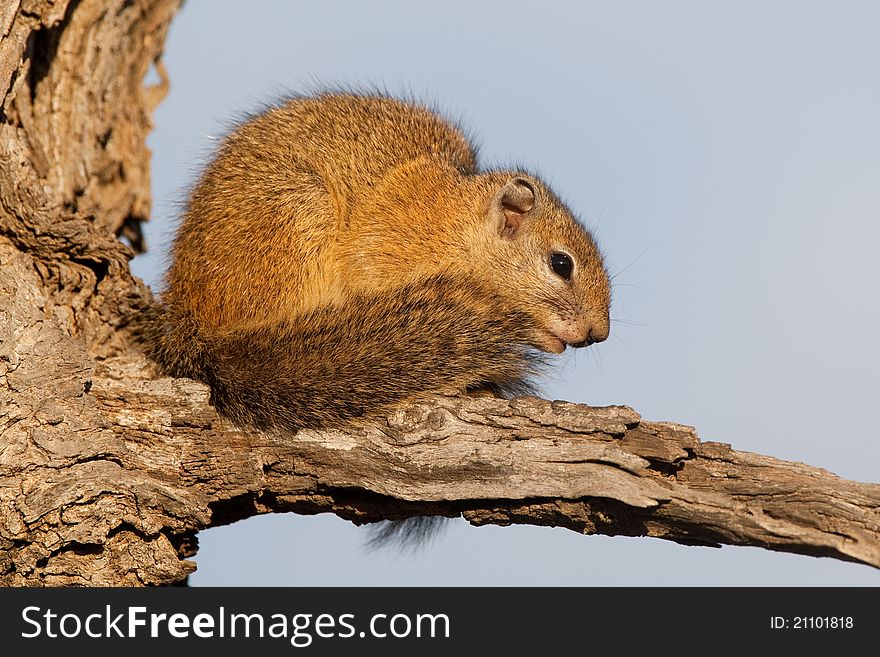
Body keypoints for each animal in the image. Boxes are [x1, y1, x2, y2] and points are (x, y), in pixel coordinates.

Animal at [146, 92, 612, 430]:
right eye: (561, 264)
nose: (598, 333)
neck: (453, 224)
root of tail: (191, 320)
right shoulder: (381, 253)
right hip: (297, 222)